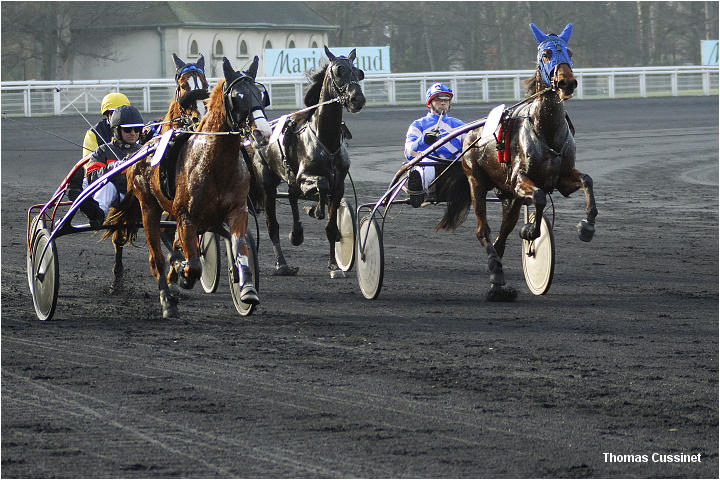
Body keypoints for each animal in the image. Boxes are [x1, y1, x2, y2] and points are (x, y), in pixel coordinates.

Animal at [107, 56, 272, 316]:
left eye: (261, 94)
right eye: (238, 96)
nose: (263, 132)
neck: (214, 163)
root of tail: (142, 149)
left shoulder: (237, 210)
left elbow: (240, 246)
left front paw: (246, 288)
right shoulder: (186, 218)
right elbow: (192, 263)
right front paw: (181, 272)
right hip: (149, 207)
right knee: (156, 258)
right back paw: (167, 299)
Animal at [252, 46, 366, 278]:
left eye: (358, 72)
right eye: (339, 71)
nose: (357, 99)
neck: (326, 140)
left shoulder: (339, 184)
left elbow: (331, 226)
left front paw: (334, 266)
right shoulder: (305, 176)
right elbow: (321, 185)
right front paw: (316, 209)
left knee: (292, 196)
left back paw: (297, 233)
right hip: (267, 184)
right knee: (272, 224)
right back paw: (282, 264)